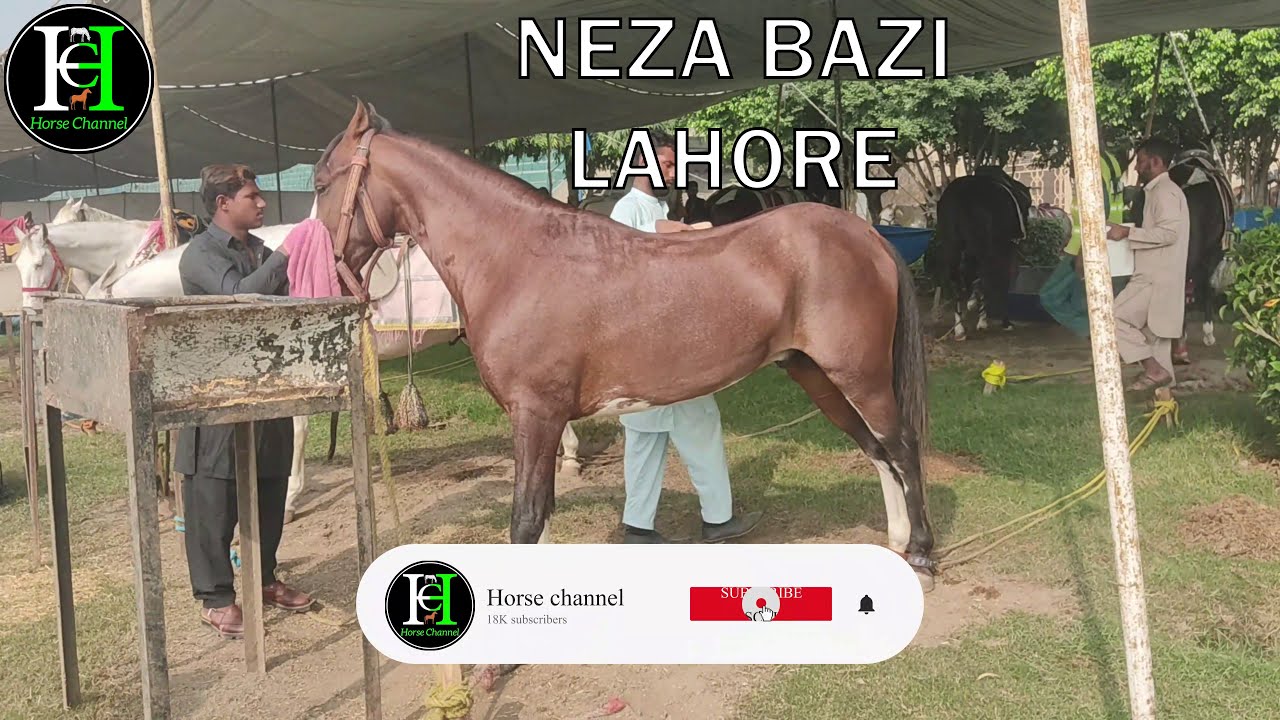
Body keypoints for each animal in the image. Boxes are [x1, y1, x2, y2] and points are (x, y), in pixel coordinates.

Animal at [311, 100, 936, 589]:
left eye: (321, 182)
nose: (323, 273)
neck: (517, 258)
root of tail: (864, 233)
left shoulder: (535, 416)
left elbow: (526, 518)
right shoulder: (540, 421)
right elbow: (542, 514)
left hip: (860, 375)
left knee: (903, 445)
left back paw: (923, 552)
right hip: (817, 375)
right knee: (877, 450)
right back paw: (897, 539)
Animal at [927, 168, 1033, 340]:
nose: (1023, 233)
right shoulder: (1004, 250)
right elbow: (1000, 282)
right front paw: (999, 322)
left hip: (952, 245)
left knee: (957, 278)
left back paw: (959, 328)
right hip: (982, 247)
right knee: (980, 275)